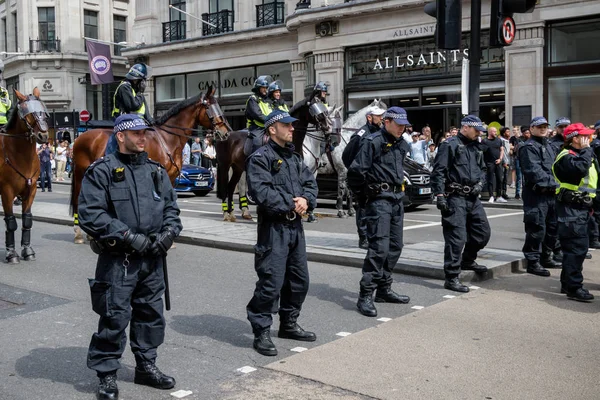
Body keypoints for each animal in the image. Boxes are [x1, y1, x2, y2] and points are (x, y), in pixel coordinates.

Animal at [0, 87, 50, 262]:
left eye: (43, 111)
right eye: (29, 113)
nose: (43, 136)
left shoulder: (31, 189)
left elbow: (27, 220)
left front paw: (27, 251)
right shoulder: (7, 191)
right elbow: (10, 222)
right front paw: (11, 253)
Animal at [69, 85, 230, 242]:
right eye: (210, 107)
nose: (226, 132)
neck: (167, 139)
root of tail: (79, 137)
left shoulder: (170, 178)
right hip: (80, 174)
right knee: (77, 200)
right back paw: (78, 234)